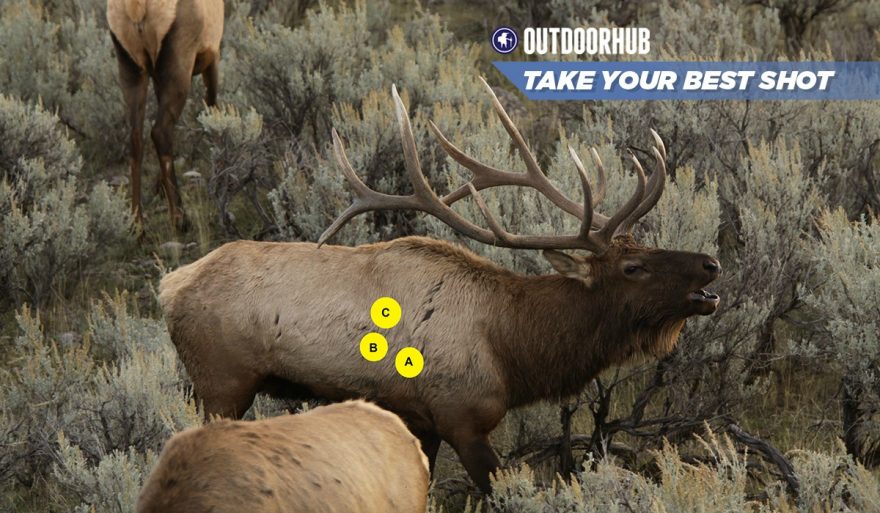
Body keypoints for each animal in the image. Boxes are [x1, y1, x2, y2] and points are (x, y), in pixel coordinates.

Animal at [106, 0, 224, 230]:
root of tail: (137, 9)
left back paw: (137, 225)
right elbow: (212, 111)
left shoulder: (156, 77)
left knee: (136, 137)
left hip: (132, 69)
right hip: (178, 69)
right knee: (160, 131)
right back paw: (180, 219)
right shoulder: (212, 55)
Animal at [158, 79, 722, 493]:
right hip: (222, 382)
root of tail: (170, 286)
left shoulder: (419, 421)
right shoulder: (461, 417)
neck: (512, 348)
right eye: (633, 267)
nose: (711, 264)